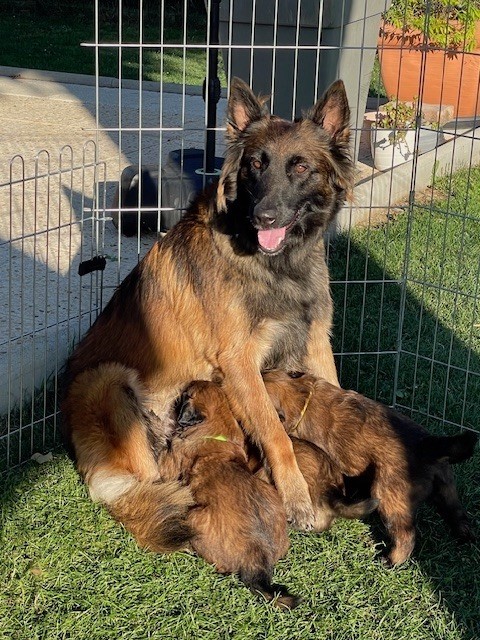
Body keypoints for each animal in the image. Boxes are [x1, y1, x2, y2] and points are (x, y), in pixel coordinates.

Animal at [61, 77, 352, 552]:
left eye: (300, 166)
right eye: (255, 164)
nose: (264, 216)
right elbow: (275, 433)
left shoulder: (314, 337)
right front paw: (295, 496)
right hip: (106, 379)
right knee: (148, 484)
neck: (275, 265)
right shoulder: (239, 360)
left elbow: (338, 395)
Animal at [158, 380, 300, 608]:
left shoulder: (170, 462)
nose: (175, 397)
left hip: (196, 516)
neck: (218, 424)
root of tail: (258, 558)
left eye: (184, 395)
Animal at [264, 370, 478, 564]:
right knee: (457, 514)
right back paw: (465, 537)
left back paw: (391, 561)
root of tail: (429, 447)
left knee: (406, 536)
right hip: (447, 487)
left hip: (390, 497)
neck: (302, 398)